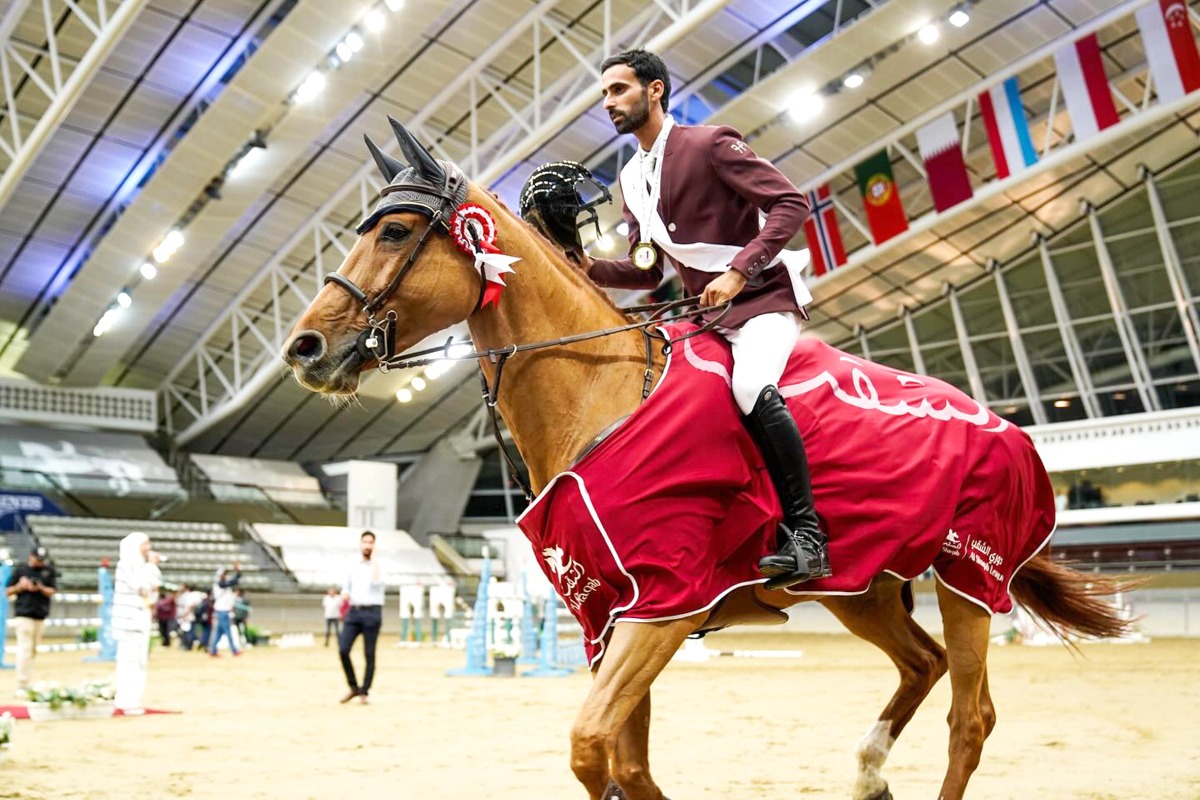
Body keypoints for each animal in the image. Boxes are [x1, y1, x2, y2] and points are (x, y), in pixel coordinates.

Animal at [285, 120, 1128, 800]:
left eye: (396, 232)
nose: (305, 348)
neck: (602, 395)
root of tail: (1007, 427)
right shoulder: (610, 615)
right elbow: (622, 762)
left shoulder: (665, 603)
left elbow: (593, 748)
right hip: (864, 585)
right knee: (922, 664)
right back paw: (868, 775)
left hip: (968, 575)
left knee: (970, 719)